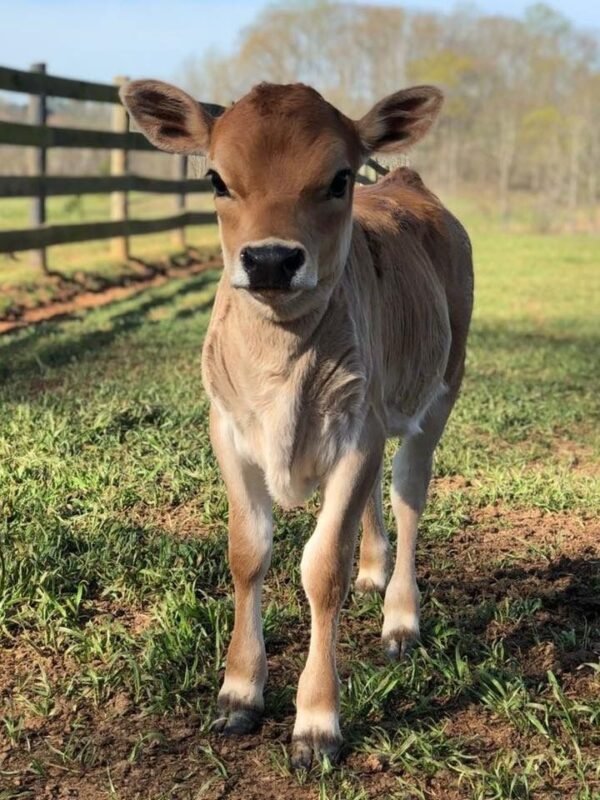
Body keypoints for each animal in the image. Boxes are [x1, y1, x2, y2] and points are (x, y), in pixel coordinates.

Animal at [120, 78, 473, 768]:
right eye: (216, 178)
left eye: (339, 179)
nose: (271, 260)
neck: (281, 366)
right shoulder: (229, 431)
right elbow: (248, 552)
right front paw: (239, 690)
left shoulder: (358, 433)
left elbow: (322, 568)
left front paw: (316, 720)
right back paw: (374, 571)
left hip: (441, 389)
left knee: (408, 494)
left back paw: (400, 617)